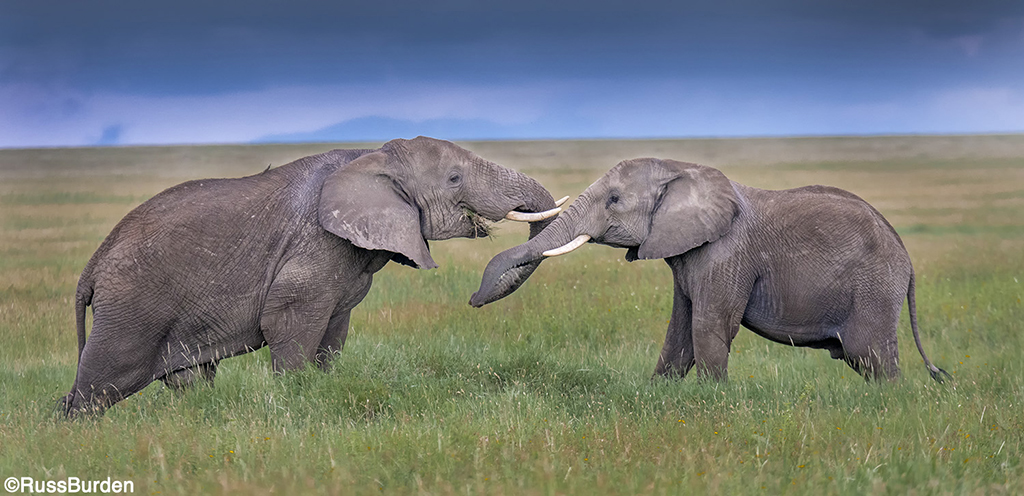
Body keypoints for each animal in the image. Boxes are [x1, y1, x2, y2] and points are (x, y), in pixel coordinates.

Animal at [58, 134, 565, 414]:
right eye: (455, 179)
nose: (475, 299)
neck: (370, 156)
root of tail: (92, 266)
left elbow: (332, 335)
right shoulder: (313, 249)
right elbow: (289, 324)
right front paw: (293, 401)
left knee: (188, 379)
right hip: (132, 307)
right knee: (100, 384)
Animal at [471, 158, 950, 383]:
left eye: (614, 200)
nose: (473, 300)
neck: (680, 168)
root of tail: (906, 258)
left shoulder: (725, 253)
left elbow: (707, 326)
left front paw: (713, 400)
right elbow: (679, 329)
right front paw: (658, 394)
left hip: (873, 287)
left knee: (870, 354)